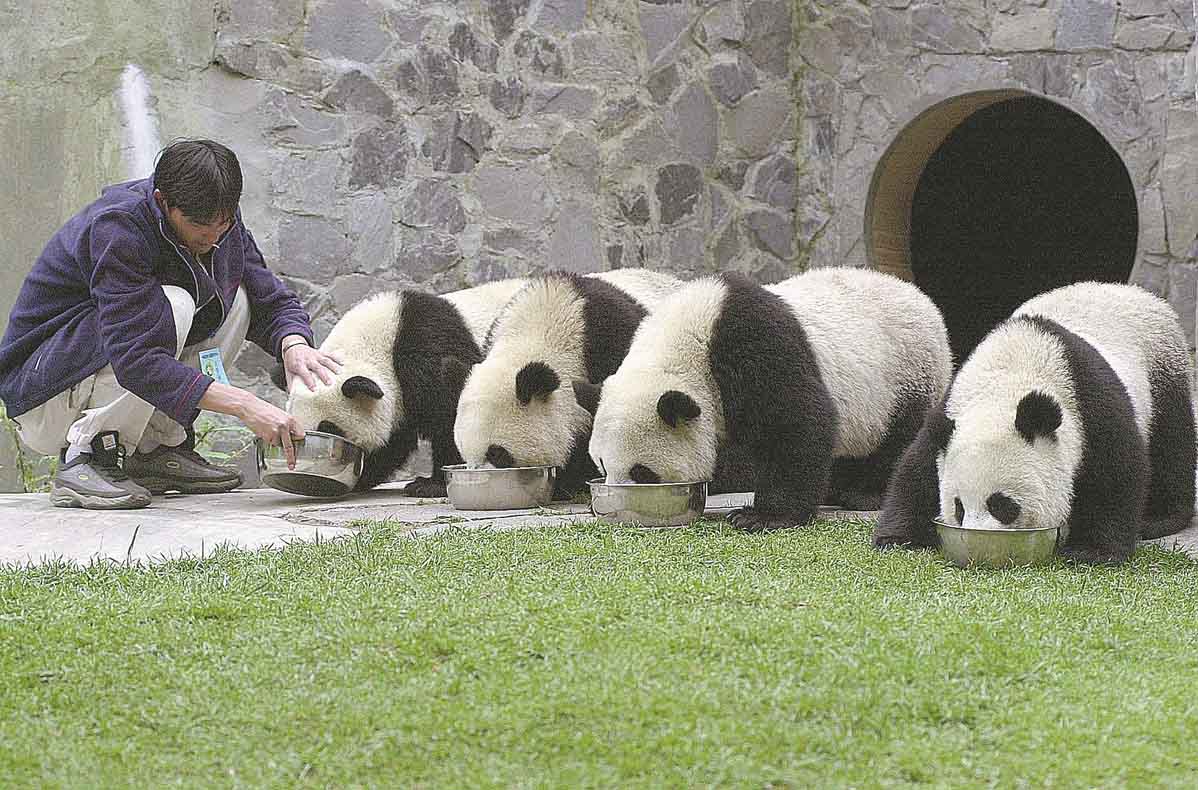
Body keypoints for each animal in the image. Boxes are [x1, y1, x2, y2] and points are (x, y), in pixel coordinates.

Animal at [584, 268, 948, 534]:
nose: (616, 501)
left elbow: (798, 423)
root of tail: (922, 299)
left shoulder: (754, 345)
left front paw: (761, 516)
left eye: (642, 472)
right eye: (601, 465)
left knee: (897, 438)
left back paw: (864, 493)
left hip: (905, 374)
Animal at [872, 281, 1198, 565]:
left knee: (1171, 444)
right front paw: (897, 537)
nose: (980, 537)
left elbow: (1115, 474)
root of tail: (1130, 290)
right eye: (959, 506)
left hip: (1162, 370)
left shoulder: (1090, 401)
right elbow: (917, 470)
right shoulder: (950, 411)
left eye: (1002, 505)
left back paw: (1157, 518)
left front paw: (1092, 552)